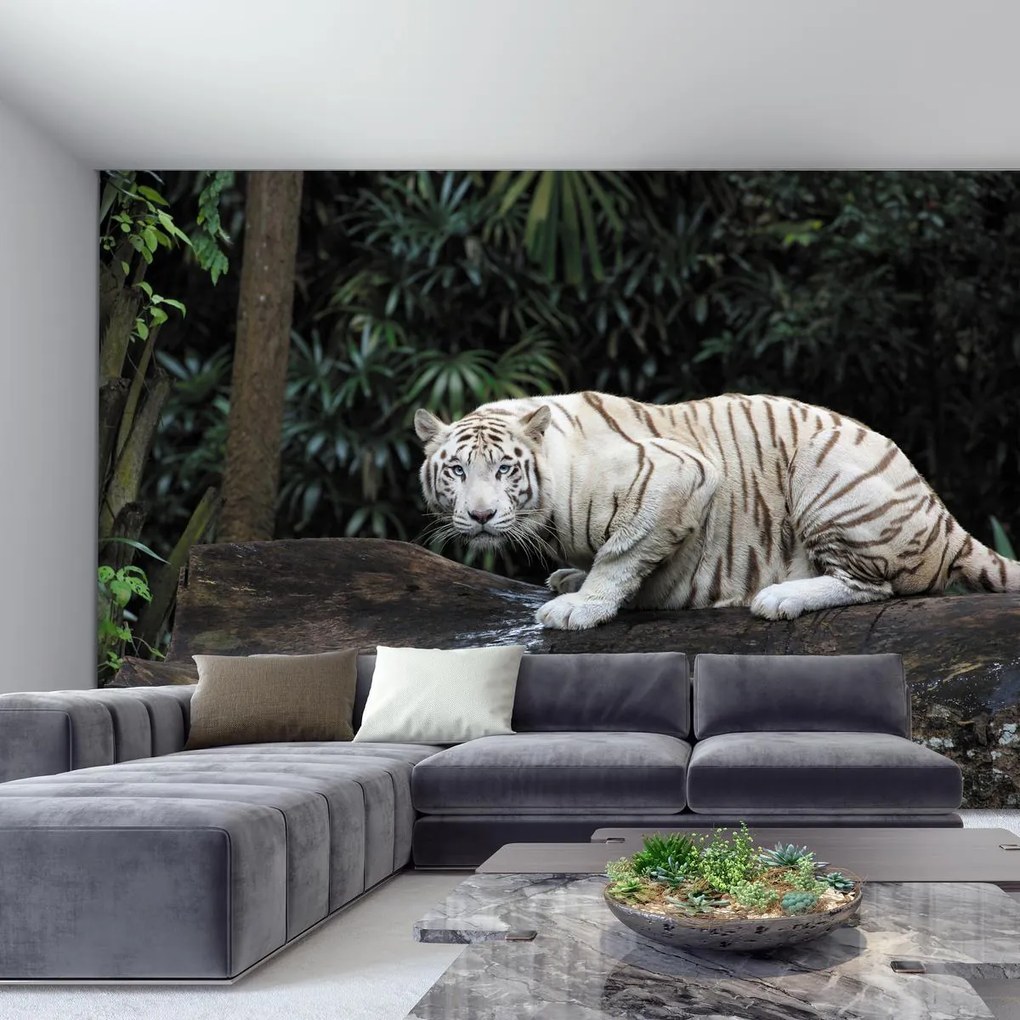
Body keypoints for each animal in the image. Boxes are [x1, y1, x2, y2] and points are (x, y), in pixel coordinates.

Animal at [414, 391, 1020, 631]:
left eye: (504, 470)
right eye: (457, 471)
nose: (482, 516)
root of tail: (942, 517)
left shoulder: (680, 473)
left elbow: (621, 552)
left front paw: (581, 606)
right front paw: (570, 579)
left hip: (826, 471)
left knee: (876, 586)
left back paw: (780, 597)